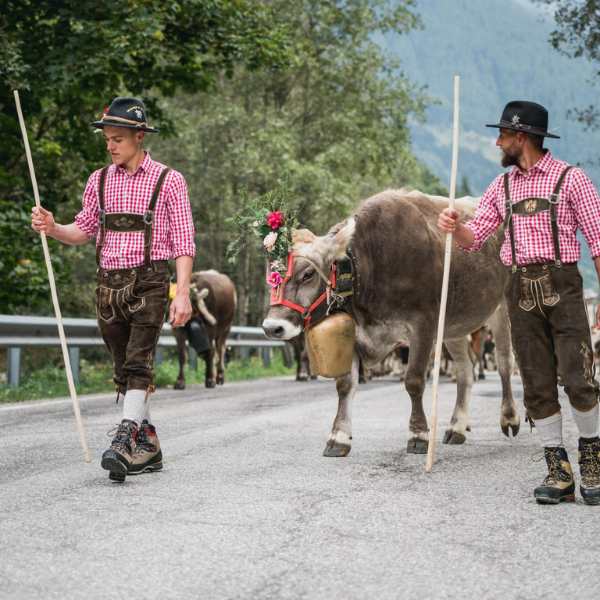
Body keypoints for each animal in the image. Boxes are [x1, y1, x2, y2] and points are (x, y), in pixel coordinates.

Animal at [262, 190, 520, 458]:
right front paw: (338, 437)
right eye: (271, 275)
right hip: (453, 324)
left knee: (504, 363)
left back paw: (510, 418)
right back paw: (457, 427)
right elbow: (345, 384)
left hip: (502, 309)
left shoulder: (423, 325)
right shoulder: (354, 331)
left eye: (307, 275)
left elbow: (414, 381)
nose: (272, 327)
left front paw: (418, 435)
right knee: (465, 370)